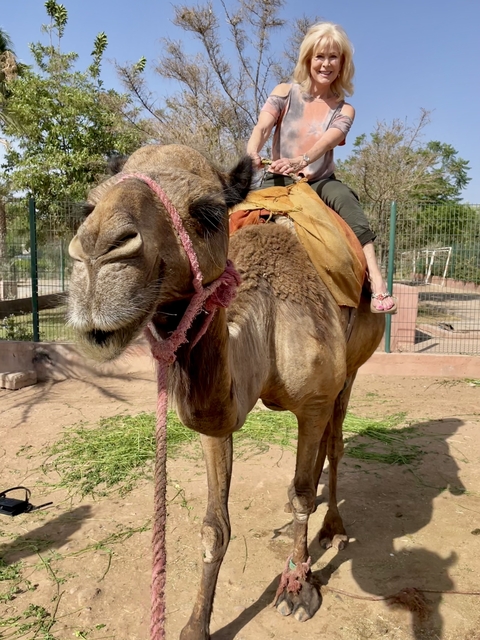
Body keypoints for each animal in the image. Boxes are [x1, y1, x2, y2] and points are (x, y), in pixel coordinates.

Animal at [67, 144, 384, 639]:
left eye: (209, 213)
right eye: (88, 206)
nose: (98, 255)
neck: (267, 320)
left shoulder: (314, 401)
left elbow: (303, 491)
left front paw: (298, 589)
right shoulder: (217, 423)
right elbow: (215, 527)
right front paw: (196, 624)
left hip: (351, 368)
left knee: (334, 446)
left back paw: (331, 528)